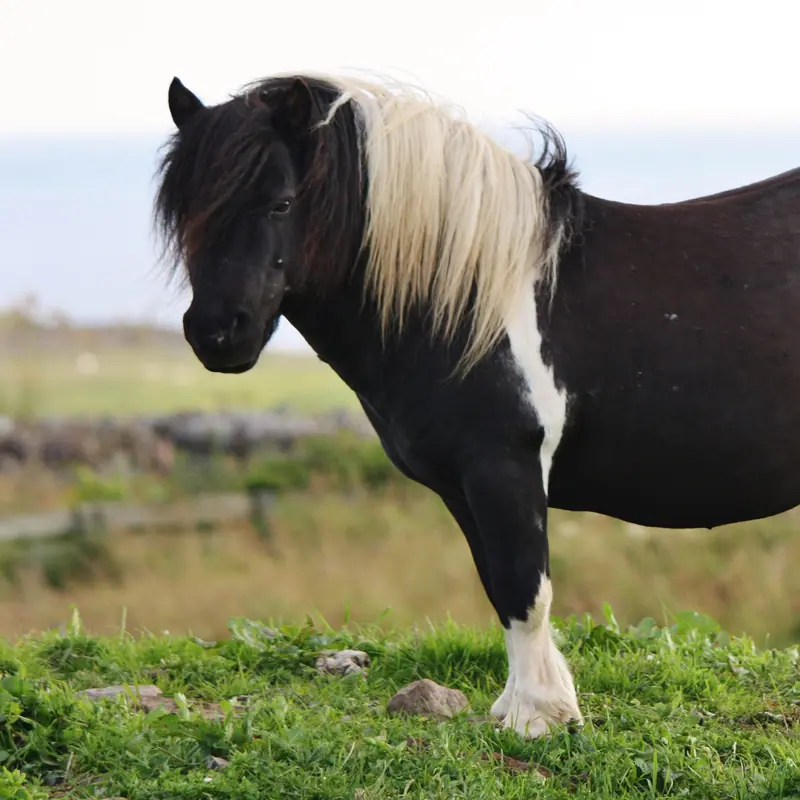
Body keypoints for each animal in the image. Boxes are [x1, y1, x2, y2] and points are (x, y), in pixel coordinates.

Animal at [153, 71, 800, 739]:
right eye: (183, 210)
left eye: (281, 202)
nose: (217, 334)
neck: (464, 301)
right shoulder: (461, 485)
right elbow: (499, 587)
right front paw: (520, 707)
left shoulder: (503, 467)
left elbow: (524, 587)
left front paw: (539, 717)